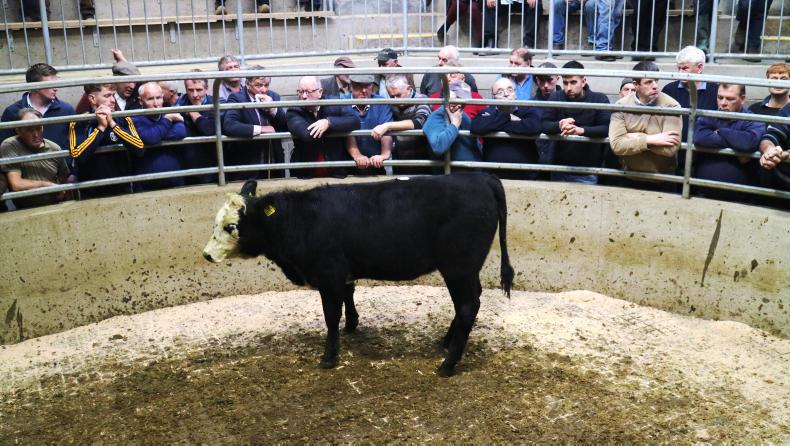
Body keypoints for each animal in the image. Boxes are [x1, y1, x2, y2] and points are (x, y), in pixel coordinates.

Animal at [203, 172, 514, 377]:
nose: (206, 254)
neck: (300, 220)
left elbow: (331, 315)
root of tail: (480, 178)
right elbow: (349, 295)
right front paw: (352, 324)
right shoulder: (343, 272)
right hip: (465, 270)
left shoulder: (328, 275)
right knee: (468, 304)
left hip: (458, 267)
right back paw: (446, 342)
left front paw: (329, 356)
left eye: (231, 226)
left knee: (467, 306)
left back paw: (448, 364)